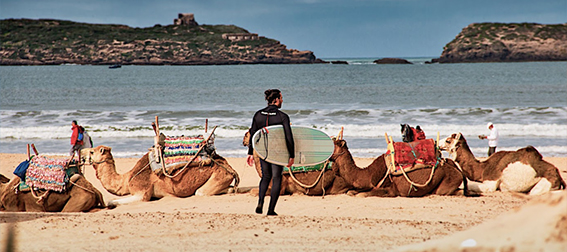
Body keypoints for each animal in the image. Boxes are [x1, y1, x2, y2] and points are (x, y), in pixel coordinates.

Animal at [82, 146, 240, 207]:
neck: (127, 180)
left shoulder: (142, 192)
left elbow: (111, 201)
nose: (81, 153)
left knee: (201, 192)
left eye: (92, 152)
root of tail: (230, 168)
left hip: (219, 175)